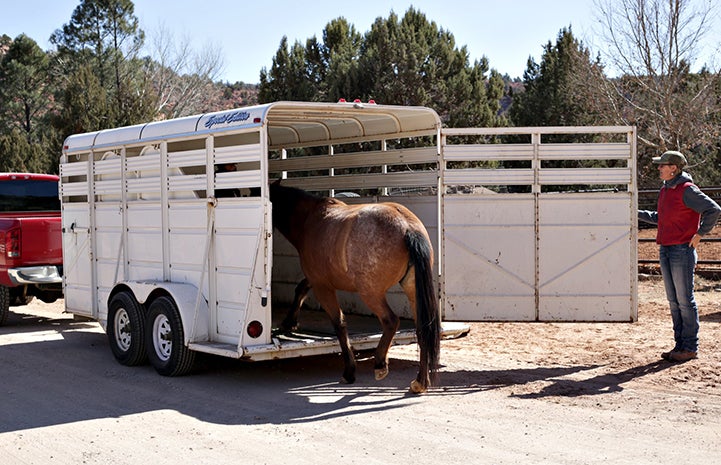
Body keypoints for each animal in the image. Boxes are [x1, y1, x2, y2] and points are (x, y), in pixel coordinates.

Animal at [270, 181, 438, 392]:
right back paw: (420, 382)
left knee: (391, 321)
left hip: (371, 293)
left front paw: (349, 371)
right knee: (422, 329)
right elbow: (300, 289)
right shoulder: (316, 279)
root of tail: (408, 227)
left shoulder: (322, 286)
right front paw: (289, 322)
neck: (310, 220)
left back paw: (380, 363)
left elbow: (339, 323)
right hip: (413, 292)